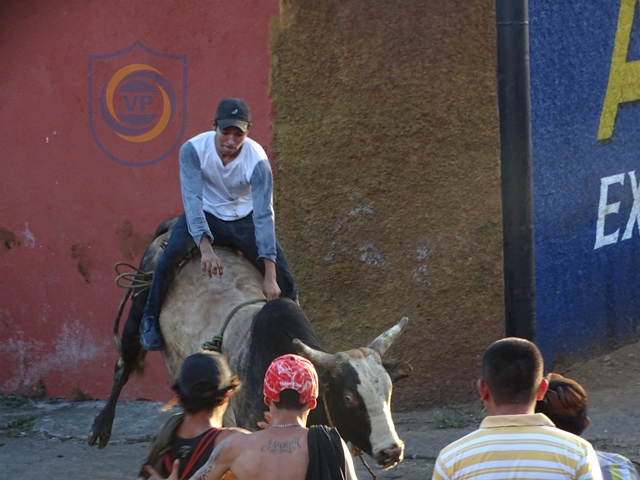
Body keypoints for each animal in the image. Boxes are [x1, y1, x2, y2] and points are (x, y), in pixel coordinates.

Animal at [88, 218, 413, 470]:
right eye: (348, 397)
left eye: (388, 390)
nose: (391, 451)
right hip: (137, 311)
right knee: (124, 363)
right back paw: (101, 427)